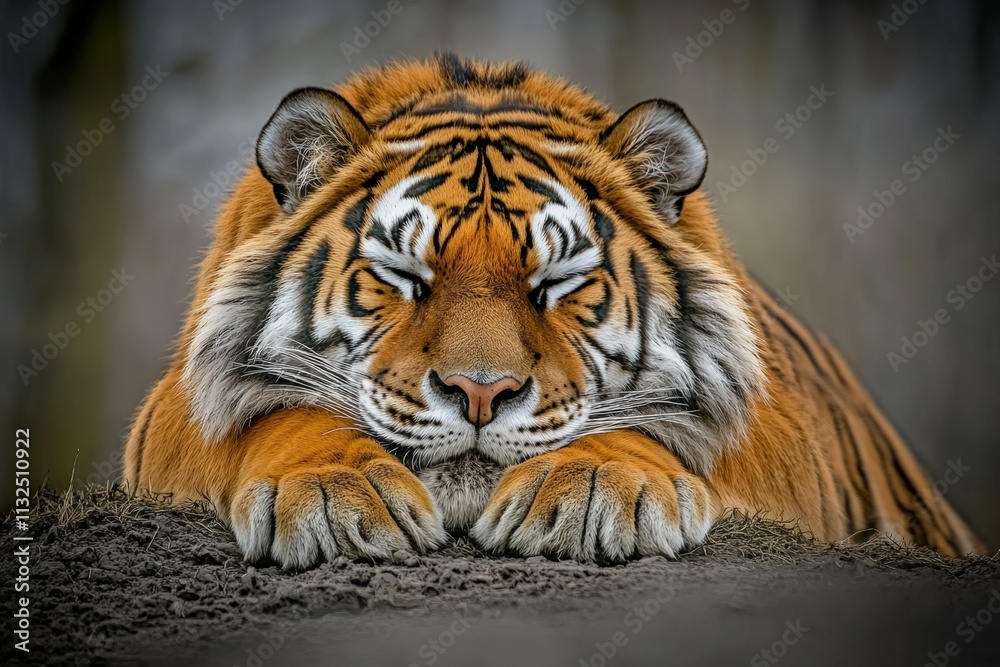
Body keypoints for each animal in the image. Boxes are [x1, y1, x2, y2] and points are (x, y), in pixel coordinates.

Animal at [123, 54, 983, 568]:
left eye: (558, 282)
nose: (479, 392)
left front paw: (594, 487)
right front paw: (331, 493)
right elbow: (274, 415)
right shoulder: (173, 409)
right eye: (404, 274)